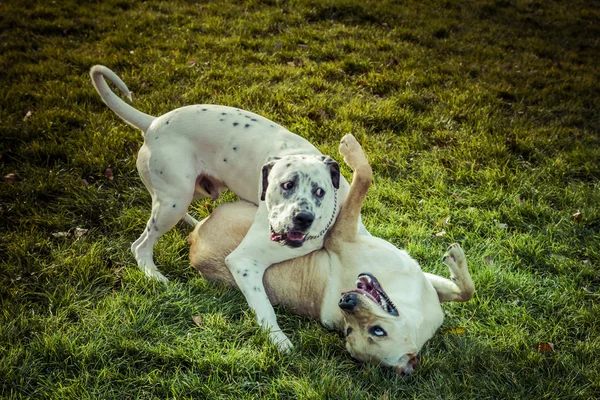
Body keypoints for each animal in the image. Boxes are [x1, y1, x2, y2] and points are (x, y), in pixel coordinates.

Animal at [89, 65, 360, 350]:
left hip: (188, 193)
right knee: (140, 245)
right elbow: (264, 306)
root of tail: (153, 123)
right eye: (286, 185)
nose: (303, 218)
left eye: (320, 191)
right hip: (174, 201)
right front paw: (279, 340)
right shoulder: (243, 261)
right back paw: (154, 275)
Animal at [188, 135, 474, 376]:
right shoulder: (345, 236)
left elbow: (466, 292)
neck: (413, 310)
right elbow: (364, 178)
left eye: (376, 331)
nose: (346, 300)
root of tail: (193, 244)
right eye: (349, 329)